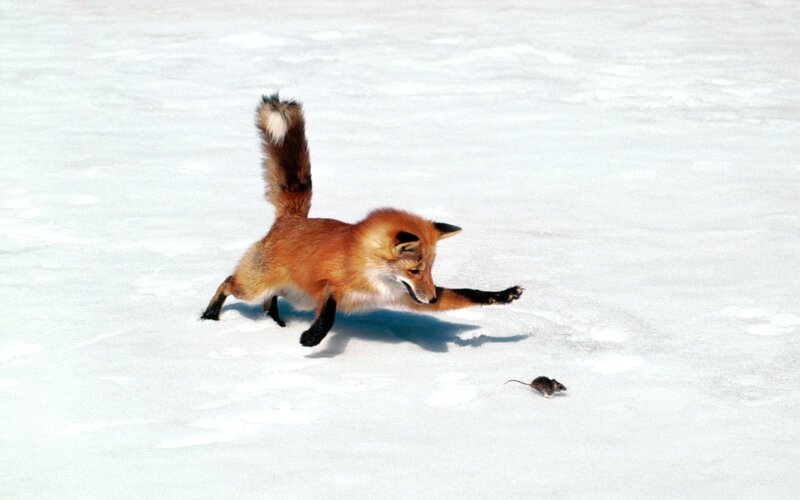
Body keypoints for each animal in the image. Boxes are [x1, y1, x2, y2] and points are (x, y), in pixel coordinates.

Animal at [201, 94, 523, 347]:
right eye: (415, 270)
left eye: (431, 270)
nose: (431, 299)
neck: (369, 271)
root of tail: (292, 218)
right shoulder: (327, 285)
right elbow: (329, 312)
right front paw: (313, 337)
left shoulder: (405, 296)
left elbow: (469, 293)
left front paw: (504, 295)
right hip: (255, 286)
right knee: (227, 283)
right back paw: (209, 315)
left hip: (291, 294)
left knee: (269, 301)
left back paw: (275, 323)